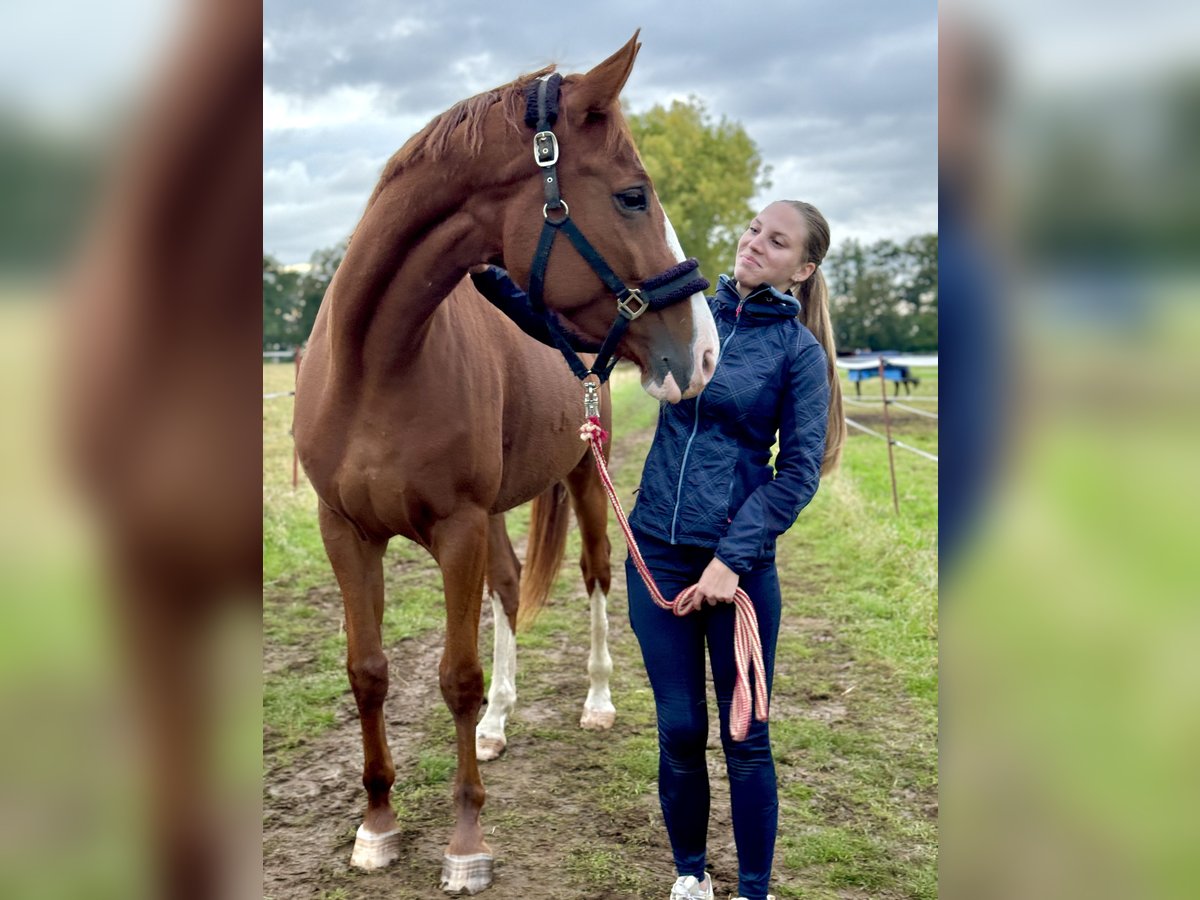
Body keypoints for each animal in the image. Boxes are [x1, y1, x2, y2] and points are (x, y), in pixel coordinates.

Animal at [291, 33, 715, 897]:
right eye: (632, 196)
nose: (704, 349)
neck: (376, 363)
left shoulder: (455, 527)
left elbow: (456, 675)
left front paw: (464, 843)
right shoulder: (346, 530)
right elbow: (368, 671)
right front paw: (377, 826)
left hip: (584, 480)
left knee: (594, 575)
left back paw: (596, 700)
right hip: (491, 515)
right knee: (511, 586)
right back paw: (497, 723)